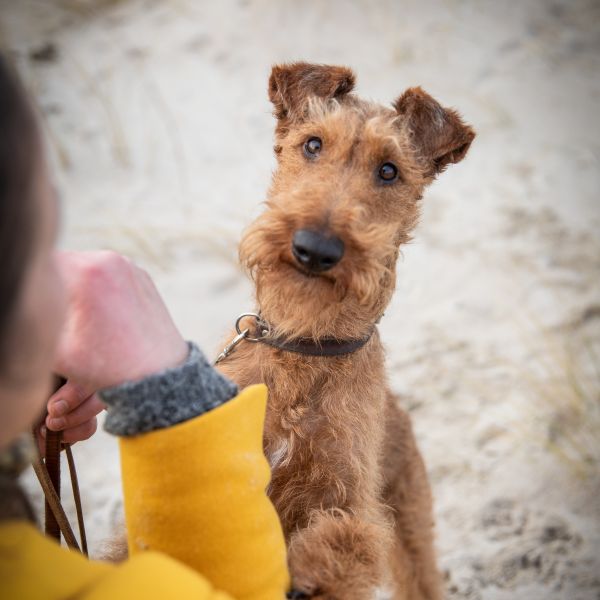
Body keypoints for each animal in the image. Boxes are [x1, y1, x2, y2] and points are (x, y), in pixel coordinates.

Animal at [216, 62, 474, 600]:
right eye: (313, 144)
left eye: (389, 170)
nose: (315, 248)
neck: (306, 346)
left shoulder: (351, 498)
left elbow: (348, 537)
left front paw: (309, 573)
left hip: (410, 523)